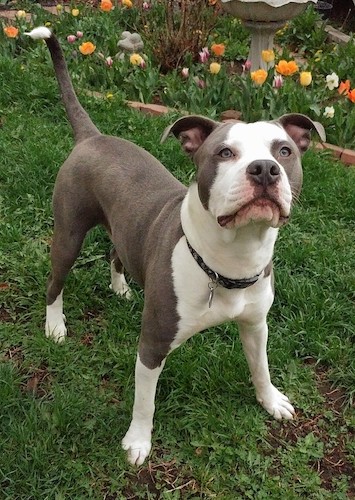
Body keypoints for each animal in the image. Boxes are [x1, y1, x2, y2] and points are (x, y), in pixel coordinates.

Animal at [26, 26, 326, 464]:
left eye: (284, 150)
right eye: (224, 152)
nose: (265, 169)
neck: (230, 260)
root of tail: (92, 137)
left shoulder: (256, 325)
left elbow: (261, 367)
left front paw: (271, 401)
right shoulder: (152, 344)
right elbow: (145, 402)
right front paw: (137, 443)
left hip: (121, 229)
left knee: (116, 251)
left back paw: (121, 289)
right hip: (68, 234)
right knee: (55, 282)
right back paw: (55, 326)